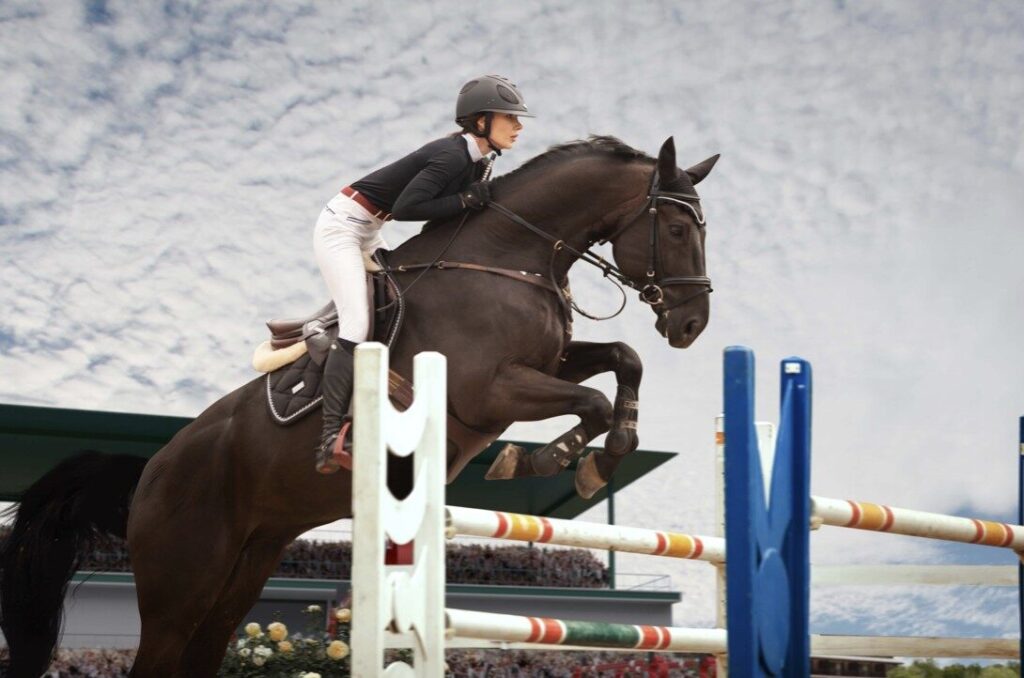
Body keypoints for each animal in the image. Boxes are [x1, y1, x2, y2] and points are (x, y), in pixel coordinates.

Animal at [0, 135, 717, 677]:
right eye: (679, 227)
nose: (692, 325)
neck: (510, 256)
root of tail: (149, 469)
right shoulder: (488, 389)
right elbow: (590, 399)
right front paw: (549, 460)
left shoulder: (545, 363)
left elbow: (623, 359)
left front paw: (605, 452)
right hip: (182, 580)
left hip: (244, 567)